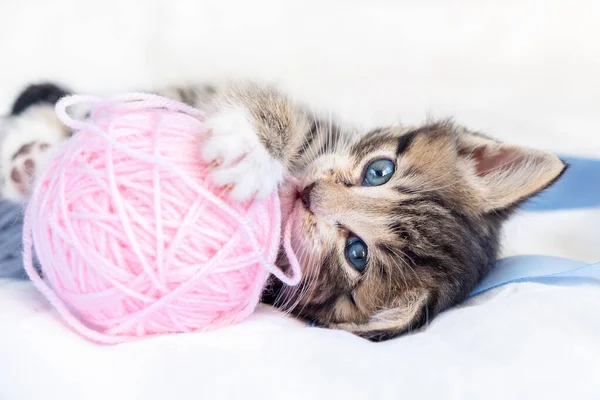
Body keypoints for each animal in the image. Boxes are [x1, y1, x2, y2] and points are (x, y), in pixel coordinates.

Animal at [0, 82, 564, 340]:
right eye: (379, 171)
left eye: (357, 254)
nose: (310, 194)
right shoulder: (315, 131)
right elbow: (270, 107)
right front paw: (251, 146)